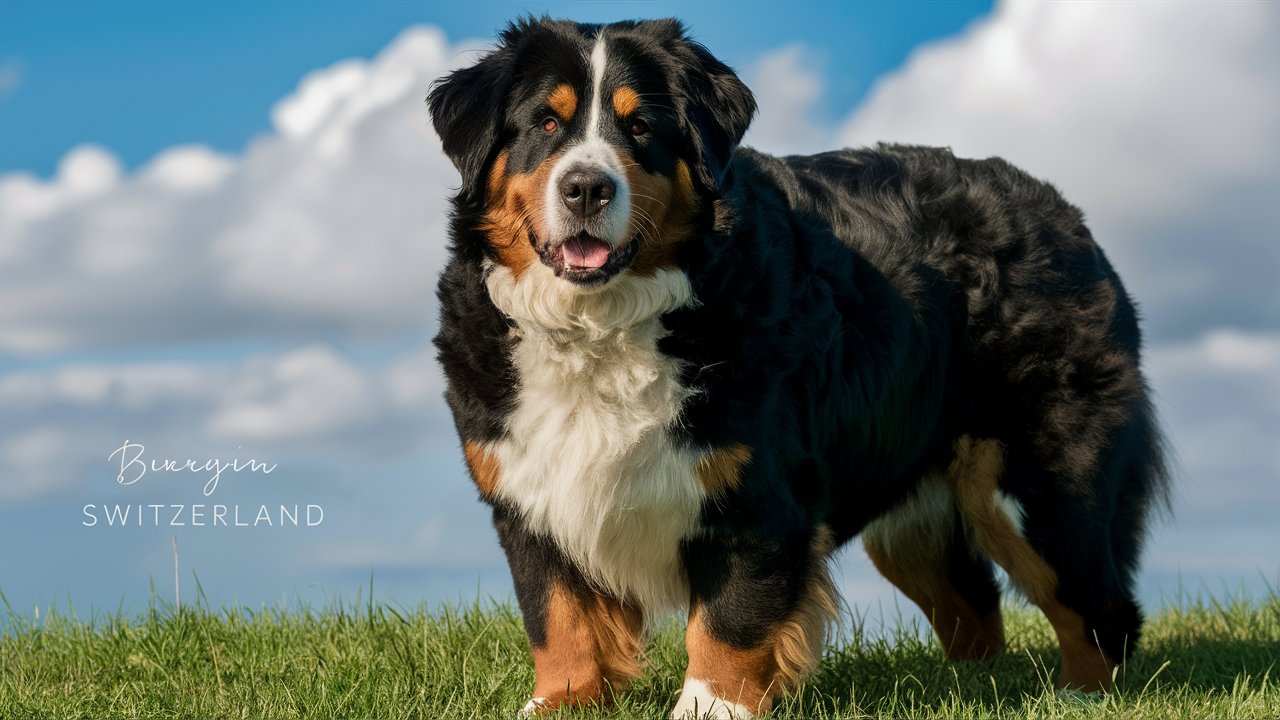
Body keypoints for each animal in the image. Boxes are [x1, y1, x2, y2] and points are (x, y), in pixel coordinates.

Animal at [430, 16, 1172, 717]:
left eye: (639, 126)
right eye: (545, 124)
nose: (587, 187)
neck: (602, 323)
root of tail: (1067, 216)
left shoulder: (757, 494)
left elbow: (730, 620)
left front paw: (712, 706)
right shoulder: (531, 493)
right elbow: (560, 621)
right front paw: (557, 704)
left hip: (1034, 487)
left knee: (1099, 607)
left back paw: (1078, 698)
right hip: (913, 524)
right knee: (976, 609)